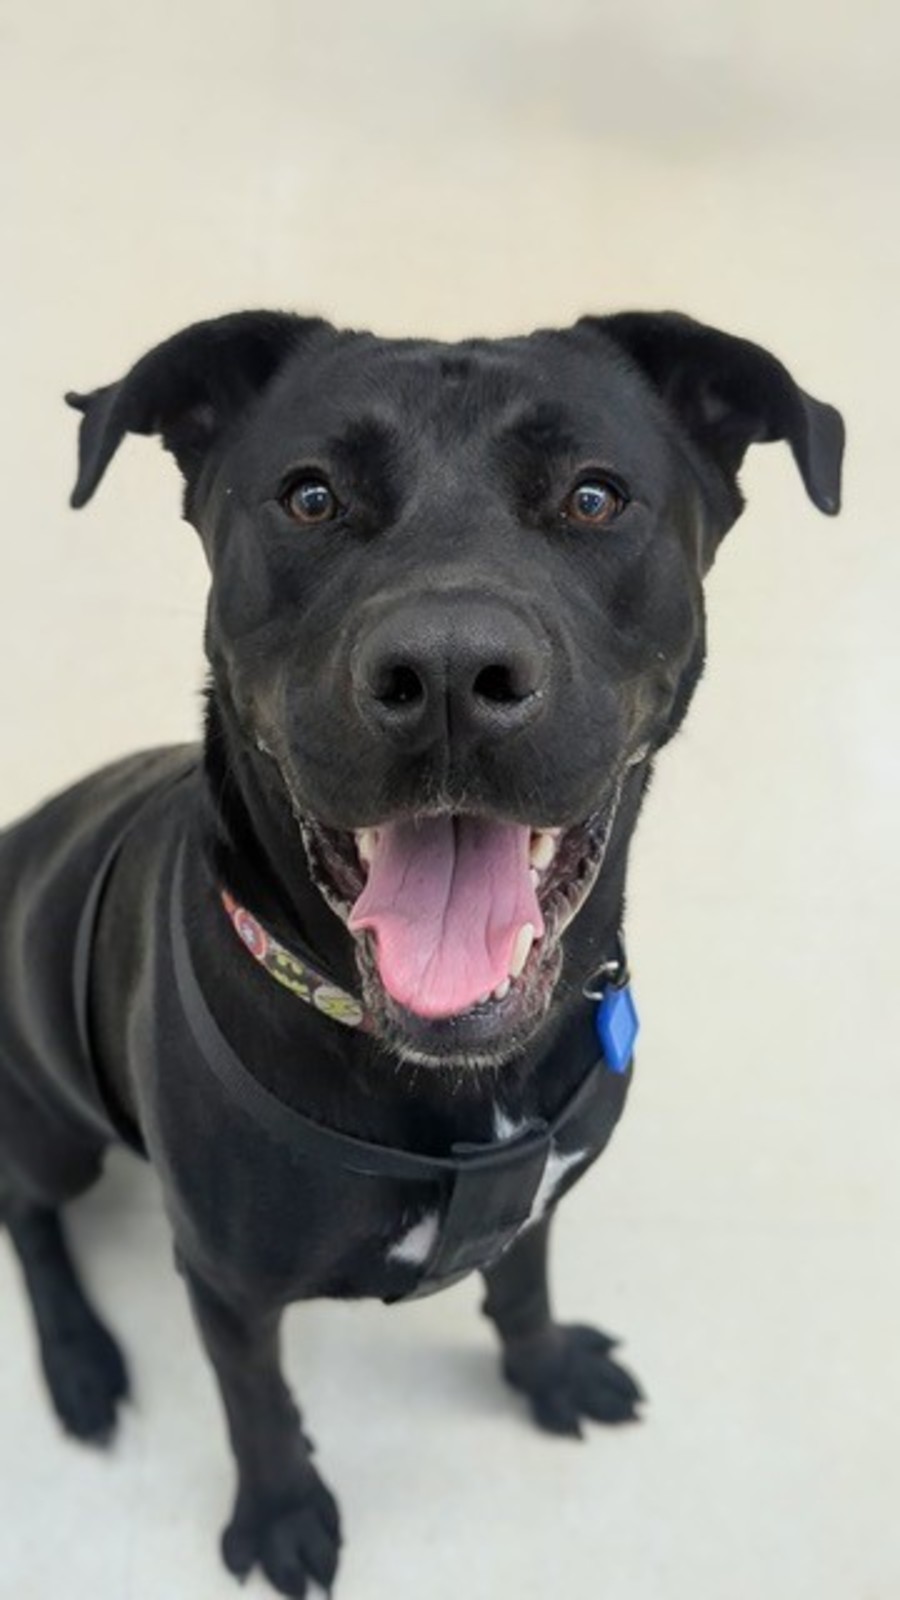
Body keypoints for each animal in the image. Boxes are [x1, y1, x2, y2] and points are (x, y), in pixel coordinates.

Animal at [0, 309, 843, 1596]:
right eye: (309, 496)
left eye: (595, 495)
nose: (448, 670)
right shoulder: (229, 1286)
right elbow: (256, 1403)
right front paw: (283, 1512)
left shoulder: (535, 1199)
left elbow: (526, 1286)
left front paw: (545, 1370)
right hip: (50, 1123)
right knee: (27, 1214)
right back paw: (81, 1360)